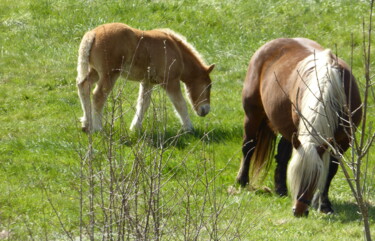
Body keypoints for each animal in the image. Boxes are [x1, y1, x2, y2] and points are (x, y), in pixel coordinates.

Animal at [75, 23, 214, 132]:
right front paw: (189, 128)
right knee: (98, 96)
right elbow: (180, 103)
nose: (206, 110)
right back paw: (97, 128)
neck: (175, 50)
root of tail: (92, 34)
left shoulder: (147, 82)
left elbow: (143, 104)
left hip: (95, 72)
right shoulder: (171, 81)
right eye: (208, 86)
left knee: (83, 87)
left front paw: (135, 128)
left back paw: (86, 124)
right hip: (109, 75)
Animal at [238, 37, 364, 217]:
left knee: (282, 155)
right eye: (296, 175)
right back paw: (242, 180)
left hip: (287, 129)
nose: (298, 211)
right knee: (248, 146)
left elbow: (331, 171)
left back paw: (280, 189)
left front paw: (325, 205)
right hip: (253, 116)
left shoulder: (342, 142)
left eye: (315, 177)